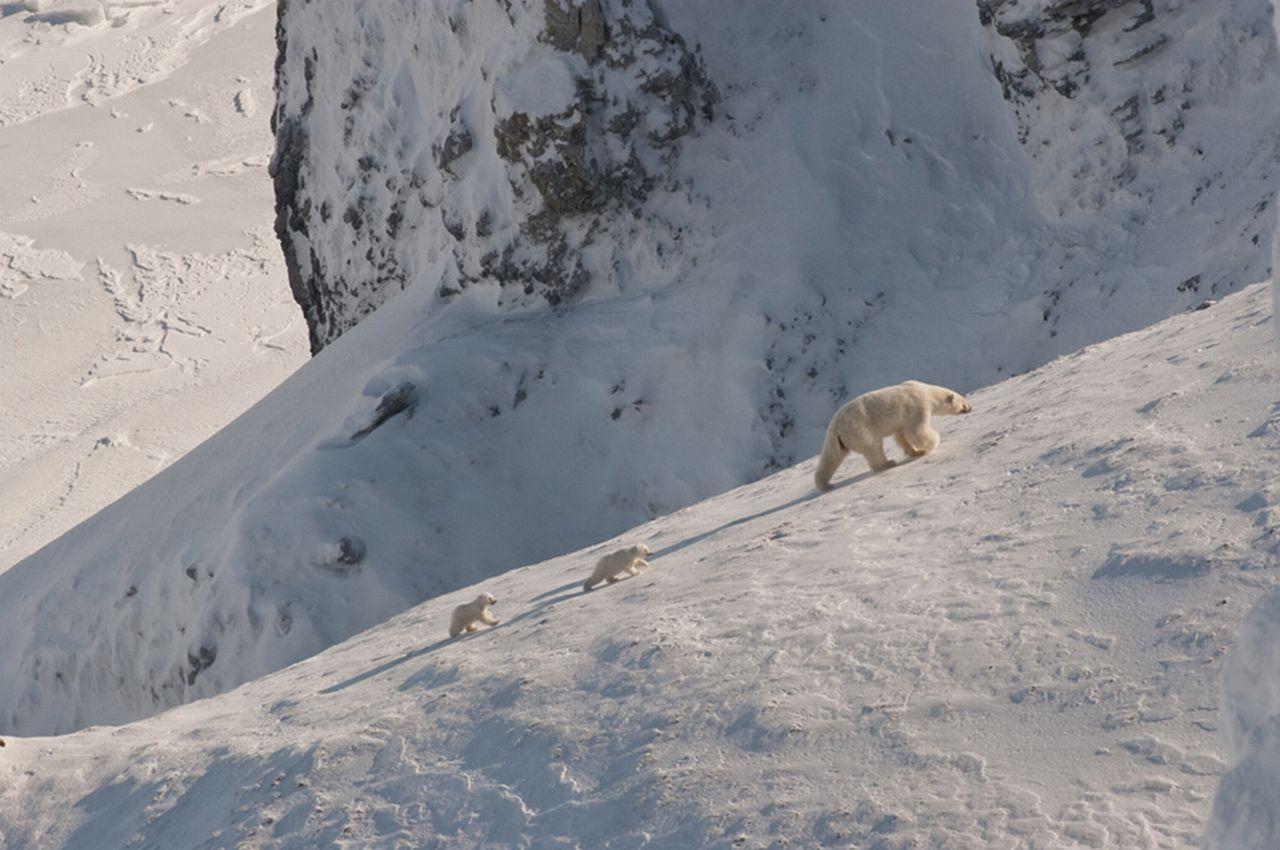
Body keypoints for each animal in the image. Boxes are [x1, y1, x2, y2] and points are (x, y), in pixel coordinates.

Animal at [814, 378, 972, 491]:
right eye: (964, 400)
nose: (970, 407)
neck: (926, 392)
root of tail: (835, 428)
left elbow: (901, 435)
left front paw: (915, 451)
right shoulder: (918, 408)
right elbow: (917, 431)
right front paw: (930, 446)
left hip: (840, 440)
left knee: (832, 456)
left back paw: (824, 484)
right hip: (860, 429)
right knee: (873, 447)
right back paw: (888, 463)